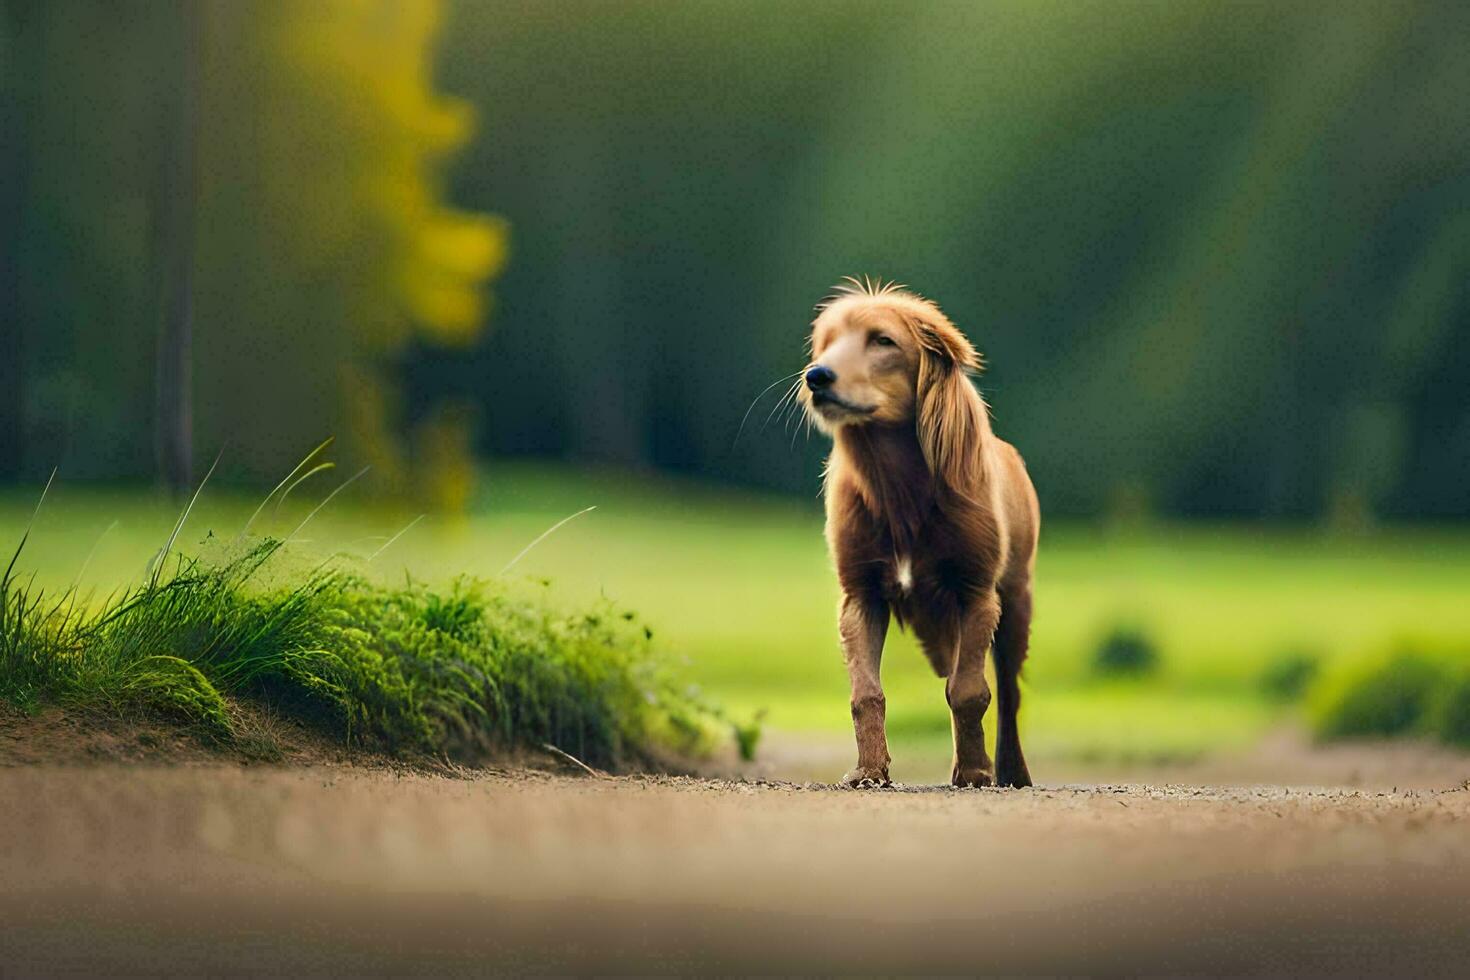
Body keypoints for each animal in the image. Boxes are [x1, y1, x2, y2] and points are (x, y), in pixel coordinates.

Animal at [805, 276, 1034, 787]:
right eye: (826, 342)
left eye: (883, 340)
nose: (817, 377)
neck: (899, 486)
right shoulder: (861, 594)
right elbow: (866, 692)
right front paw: (869, 770)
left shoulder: (976, 592)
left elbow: (970, 691)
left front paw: (976, 772)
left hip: (1017, 599)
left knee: (1009, 694)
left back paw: (1012, 771)